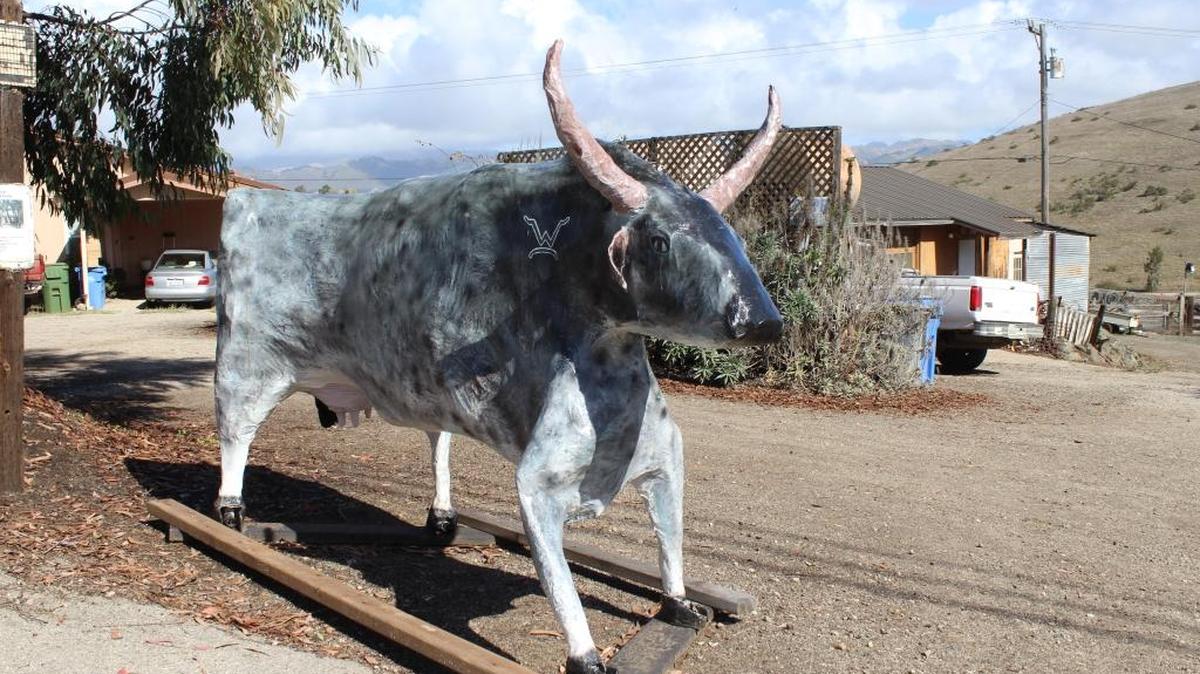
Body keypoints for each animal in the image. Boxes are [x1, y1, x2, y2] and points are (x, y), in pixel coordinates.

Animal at [214, 40, 783, 673]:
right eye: (659, 240)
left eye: (729, 233)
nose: (762, 321)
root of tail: (245, 199)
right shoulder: (539, 481)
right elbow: (559, 578)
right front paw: (585, 652)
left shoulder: (664, 454)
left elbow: (670, 535)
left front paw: (680, 600)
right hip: (247, 362)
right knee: (236, 429)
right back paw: (230, 509)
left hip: (422, 385)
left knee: (436, 439)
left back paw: (442, 515)